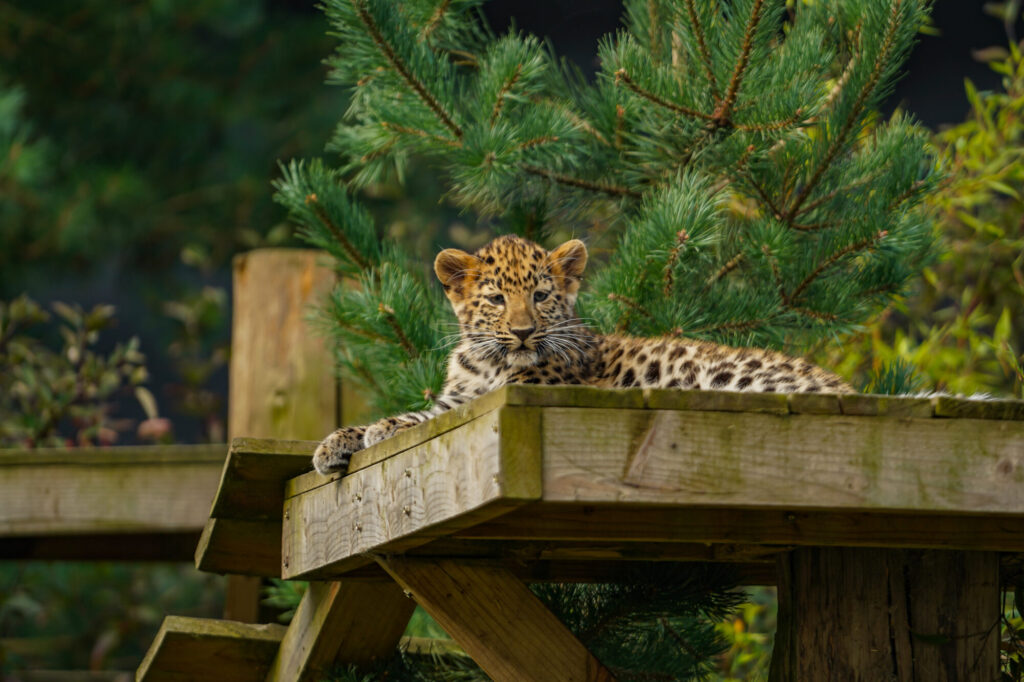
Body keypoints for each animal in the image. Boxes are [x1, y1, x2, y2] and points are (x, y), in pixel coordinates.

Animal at [313, 235, 853, 475]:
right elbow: (425, 411)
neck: (488, 362)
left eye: (541, 296)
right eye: (497, 300)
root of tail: (845, 386)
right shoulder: (465, 394)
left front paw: (379, 431)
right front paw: (336, 442)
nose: (523, 332)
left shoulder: (508, 395)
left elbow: (429, 418)